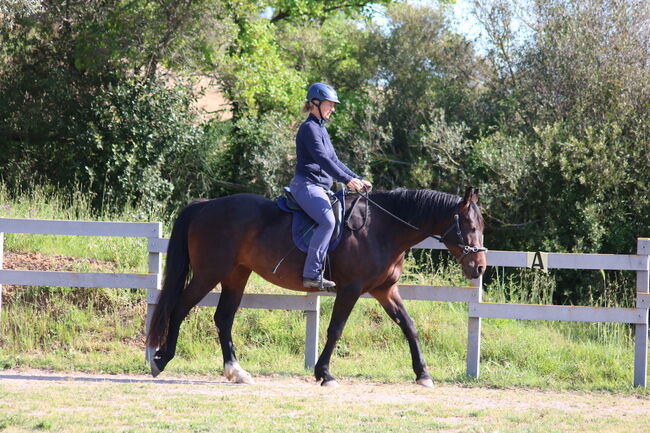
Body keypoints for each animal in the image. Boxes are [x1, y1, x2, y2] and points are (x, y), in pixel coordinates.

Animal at [146, 186, 480, 384]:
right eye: (470, 226)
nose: (479, 267)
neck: (381, 229)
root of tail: (205, 206)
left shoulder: (385, 290)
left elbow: (409, 326)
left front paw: (423, 373)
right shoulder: (351, 289)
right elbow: (335, 330)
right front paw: (325, 373)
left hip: (236, 275)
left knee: (223, 319)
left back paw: (236, 371)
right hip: (208, 273)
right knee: (179, 308)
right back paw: (161, 359)